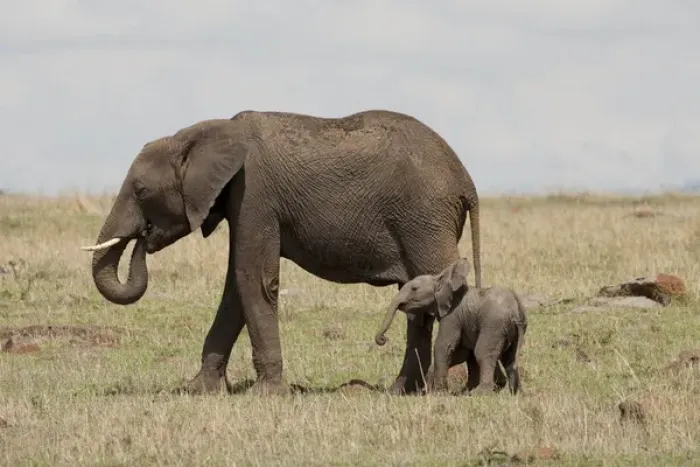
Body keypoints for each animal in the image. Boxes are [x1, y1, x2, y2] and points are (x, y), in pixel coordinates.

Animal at [80, 109, 482, 396]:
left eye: (141, 190)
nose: (143, 239)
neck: (204, 134)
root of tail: (468, 183)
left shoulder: (254, 194)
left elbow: (252, 278)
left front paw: (266, 394)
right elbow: (235, 287)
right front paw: (197, 390)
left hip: (425, 217)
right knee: (417, 299)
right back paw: (400, 392)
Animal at [374, 258, 527, 395]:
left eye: (414, 288)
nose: (383, 339)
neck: (439, 280)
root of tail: (516, 312)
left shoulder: (452, 316)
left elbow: (443, 346)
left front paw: (438, 393)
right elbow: (460, 353)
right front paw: (430, 390)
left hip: (494, 326)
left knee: (483, 353)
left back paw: (480, 393)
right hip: (511, 330)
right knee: (509, 358)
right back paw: (515, 394)